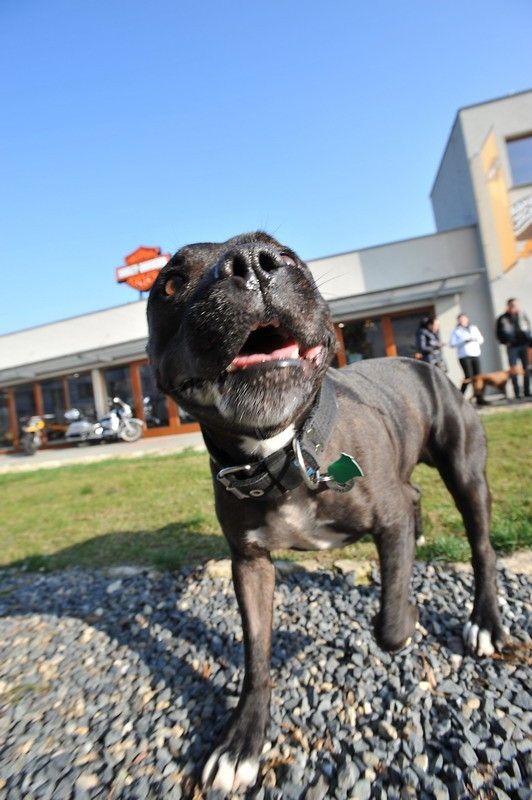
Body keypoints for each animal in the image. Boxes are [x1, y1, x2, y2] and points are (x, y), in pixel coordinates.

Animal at [147, 232, 506, 794]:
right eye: (171, 283)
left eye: (286, 253)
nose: (252, 264)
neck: (284, 454)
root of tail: (425, 364)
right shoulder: (250, 563)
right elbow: (256, 654)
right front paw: (241, 742)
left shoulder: (388, 519)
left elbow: (390, 626)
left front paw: (408, 615)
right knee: (416, 499)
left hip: (466, 472)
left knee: (482, 547)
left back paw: (484, 622)